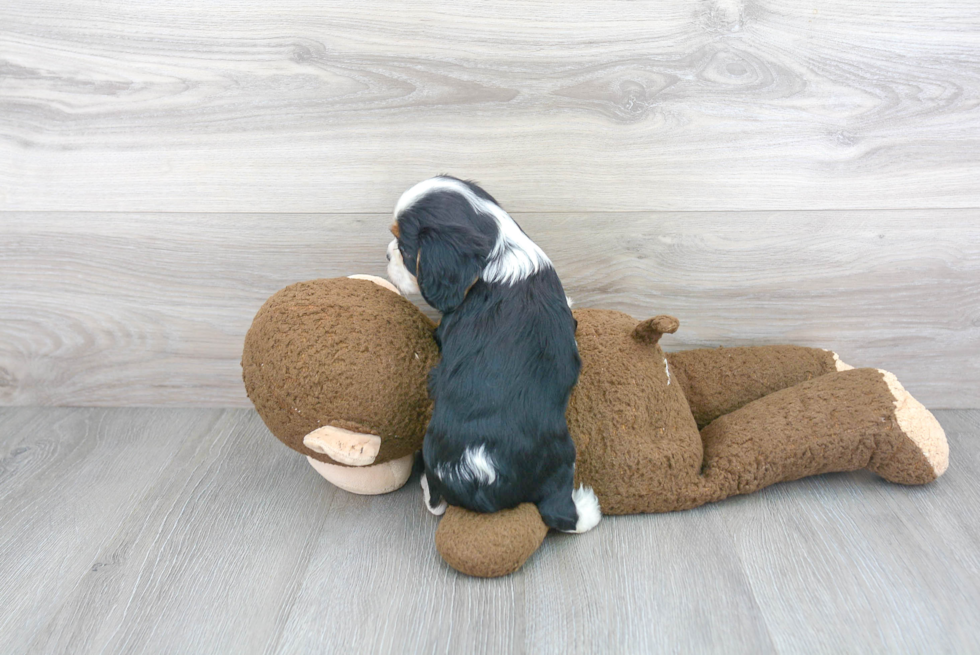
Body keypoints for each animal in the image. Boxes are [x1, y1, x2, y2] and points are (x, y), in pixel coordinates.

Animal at [386, 177, 600, 536]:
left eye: (403, 248)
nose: (386, 253)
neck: (499, 251)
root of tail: (481, 476)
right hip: (562, 454)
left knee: (437, 501)